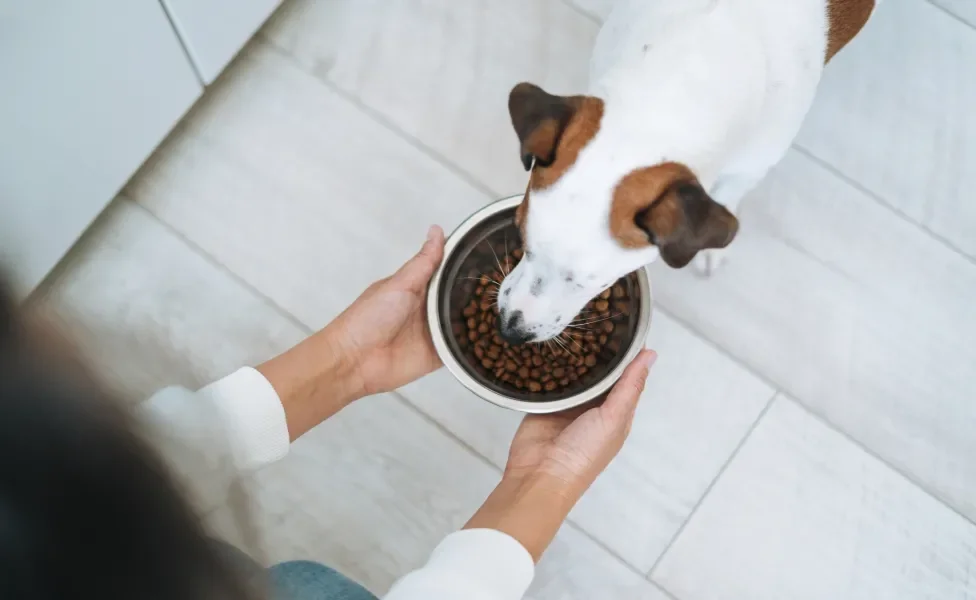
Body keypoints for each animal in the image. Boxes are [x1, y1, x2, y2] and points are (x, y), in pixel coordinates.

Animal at [496, 0, 876, 342]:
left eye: (591, 282)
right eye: (522, 240)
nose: (510, 331)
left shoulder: (750, 166)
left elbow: (729, 194)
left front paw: (710, 251)